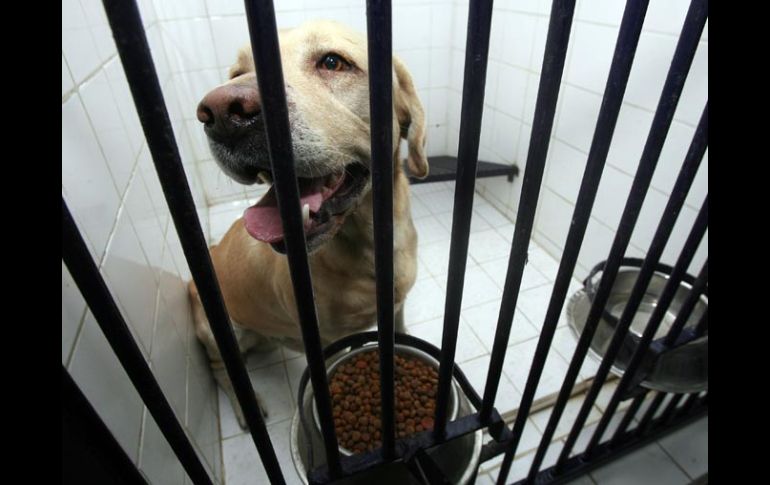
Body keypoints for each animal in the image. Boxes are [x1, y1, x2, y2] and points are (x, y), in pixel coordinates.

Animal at [186, 20, 426, 426]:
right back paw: (248, 408)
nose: (221, 113)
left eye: (332, 62)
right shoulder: (329, 341)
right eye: (236, 73)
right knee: (223, 372)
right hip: (218, 333)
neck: (366, 249)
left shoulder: (397, 307)